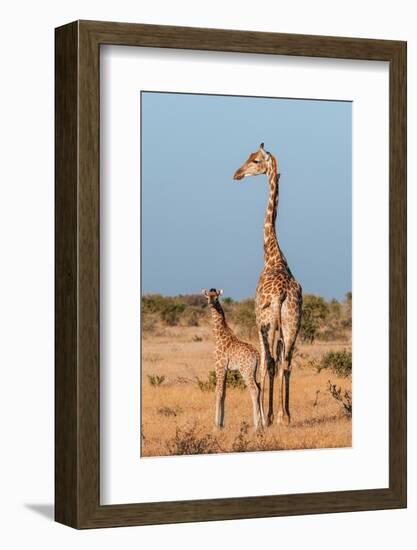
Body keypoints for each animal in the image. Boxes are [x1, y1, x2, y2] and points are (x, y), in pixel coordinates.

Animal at [201, 288, 264, 432]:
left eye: (217, 298)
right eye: (207, 297)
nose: (211, 304)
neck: (219, 335)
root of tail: (257, 355)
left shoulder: (219, 366)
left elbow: (218, 392)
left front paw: (215, 426)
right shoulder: (225, 369)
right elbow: (224, 393)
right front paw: (222, 424)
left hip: (246, 371)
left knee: (254, 390)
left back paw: (256, 426)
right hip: (255, 372)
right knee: (260, 388)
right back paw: (264, 423)